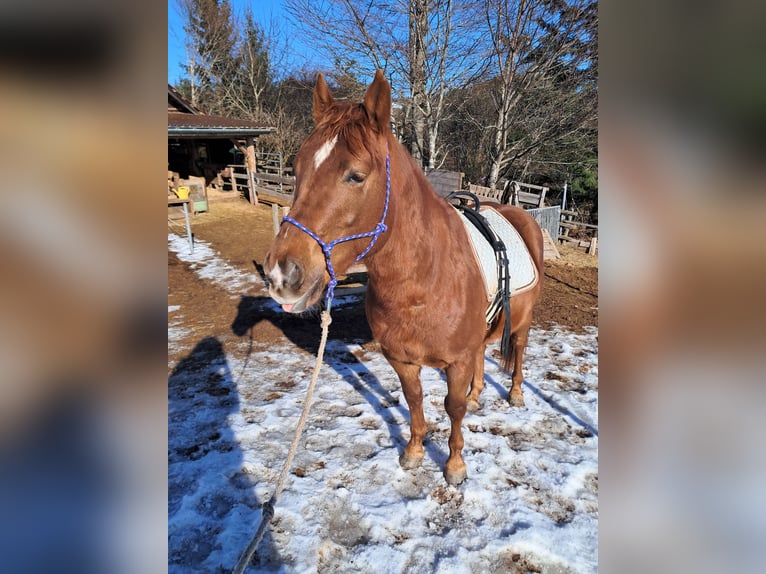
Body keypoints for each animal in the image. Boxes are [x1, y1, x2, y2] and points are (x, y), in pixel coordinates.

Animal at [264, 70, 544, 485]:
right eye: (296, 170)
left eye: (356, 176)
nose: (282, 274)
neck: (423, 282)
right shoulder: (401, 360)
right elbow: (414, 400)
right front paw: (413, 451)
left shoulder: (455, 362)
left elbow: (453, 407)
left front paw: (454, 465)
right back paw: (479, 394)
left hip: (521, 323)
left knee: (520, 350)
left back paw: (516, 394)